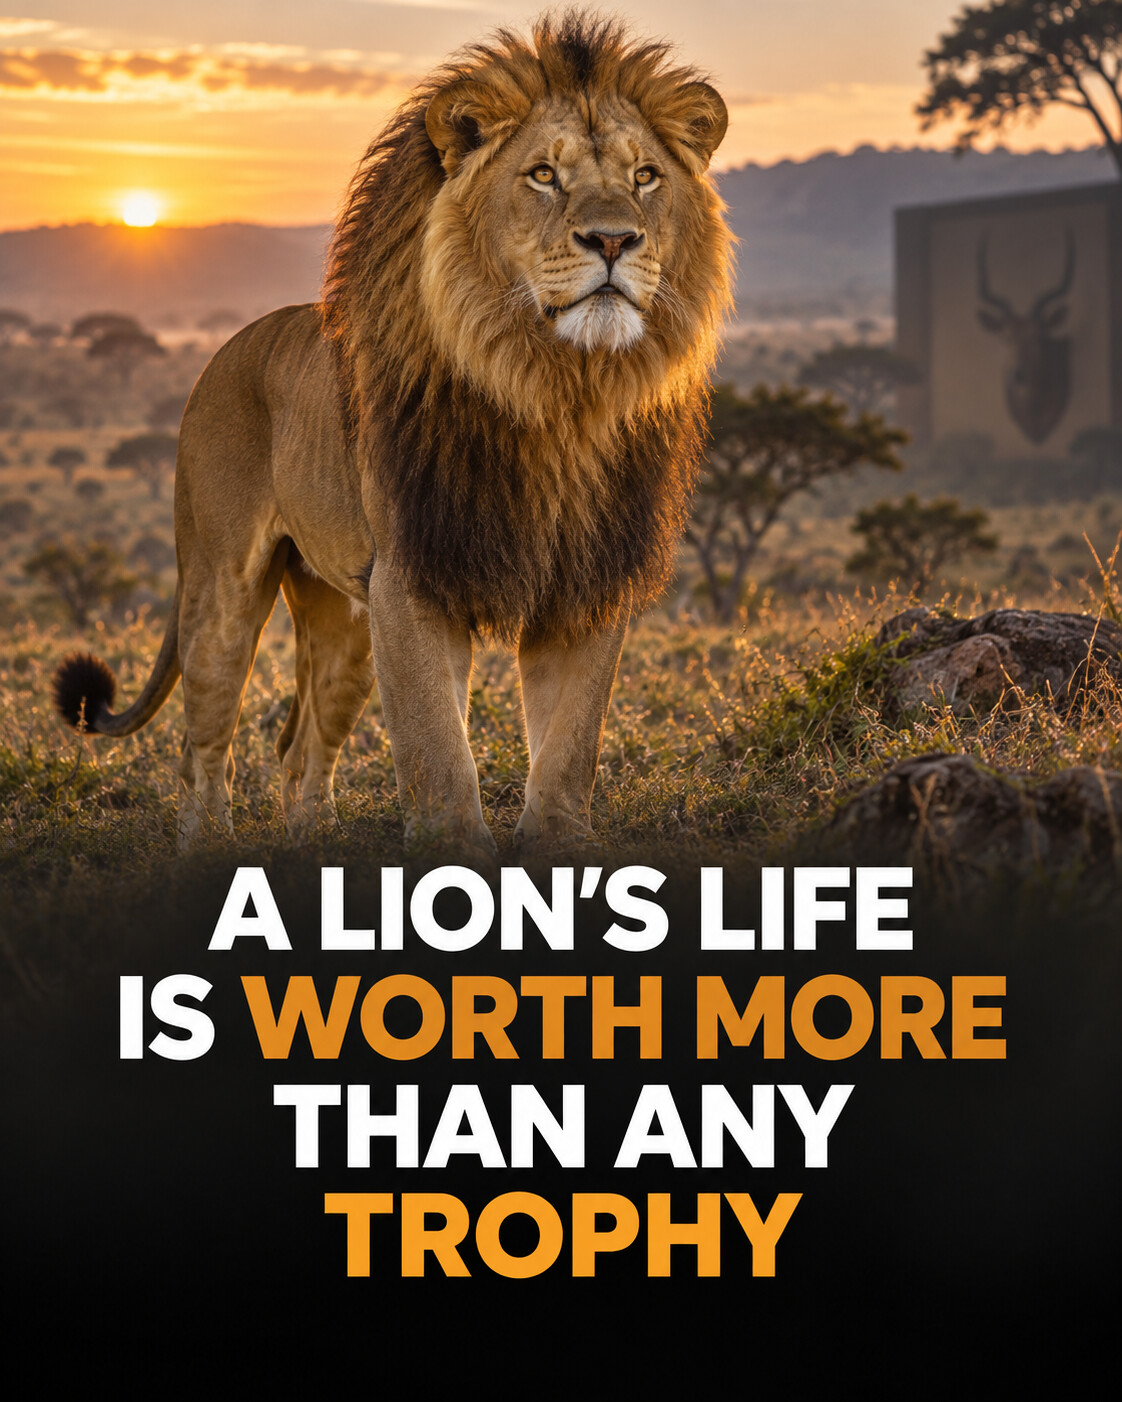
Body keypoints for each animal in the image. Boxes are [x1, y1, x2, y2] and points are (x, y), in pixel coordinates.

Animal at [53, 10, 732, 855]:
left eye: (644, 177)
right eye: (543, 174)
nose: (613, 241)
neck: (557, 391)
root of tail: (229, 348)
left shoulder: (585, 580)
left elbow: (571, 740)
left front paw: (561, 848)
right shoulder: (413, 577)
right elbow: (436, 746)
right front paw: (454, 858)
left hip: (343, 620)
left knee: (301, 749)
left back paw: (312, 844)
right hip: (223, 586)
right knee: (204, 742)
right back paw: (208, 848)